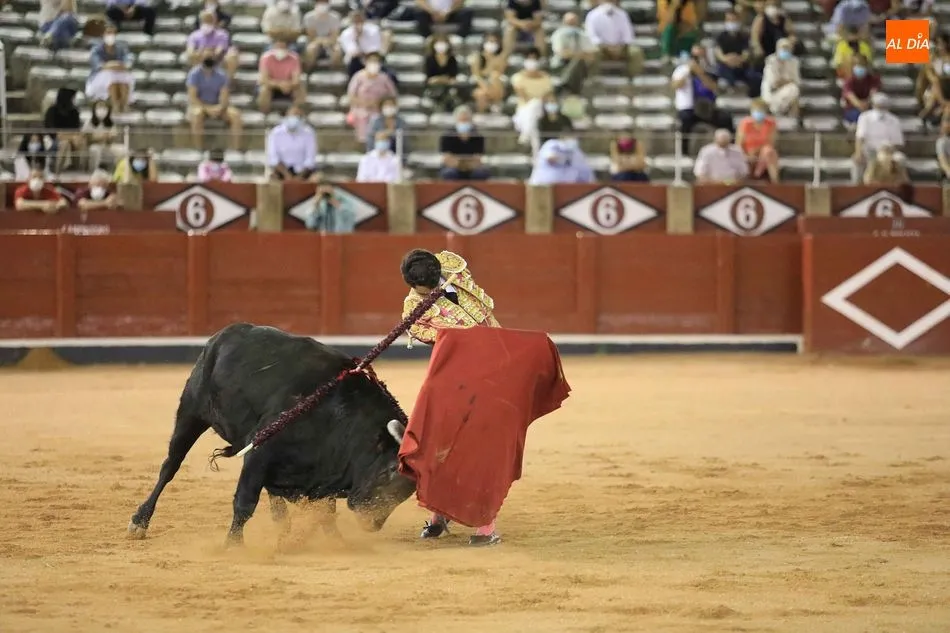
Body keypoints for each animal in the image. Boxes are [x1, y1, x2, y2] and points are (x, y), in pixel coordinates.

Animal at [128, 322, 416, 545]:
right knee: (170, 466)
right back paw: (140, 521)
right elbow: (245, 503)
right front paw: (233, 546)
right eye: (388, 471)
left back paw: (282, 524)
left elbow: (325, 512)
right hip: (191, 412)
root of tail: (224, 333)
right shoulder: (259, 451)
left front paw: (337, 543)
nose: (371, 522)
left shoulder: (324, 467)